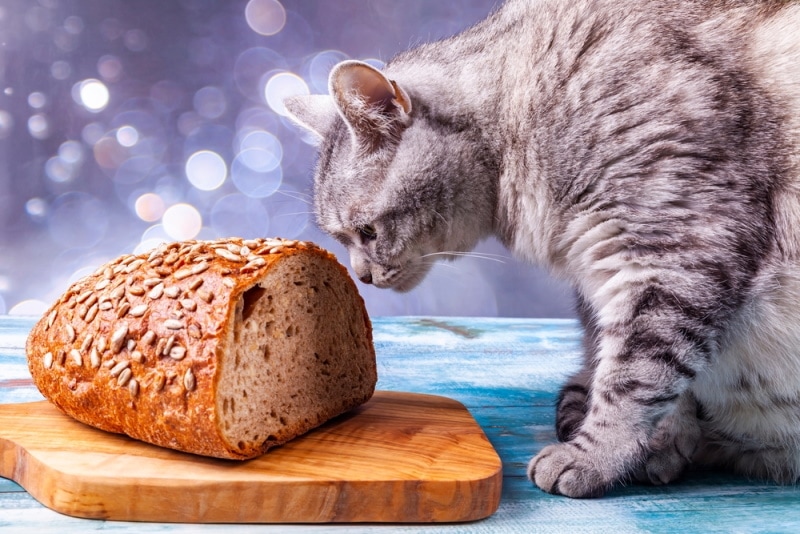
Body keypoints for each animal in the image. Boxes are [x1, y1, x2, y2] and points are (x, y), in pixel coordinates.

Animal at [284, 0, 800, 500]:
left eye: (367, 232)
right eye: (341, 239)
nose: (363, 276)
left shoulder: (676, 251)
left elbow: (633, 377)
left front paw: (594, 457)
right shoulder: (621, 282)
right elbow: (665, 386)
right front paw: (656, 446)